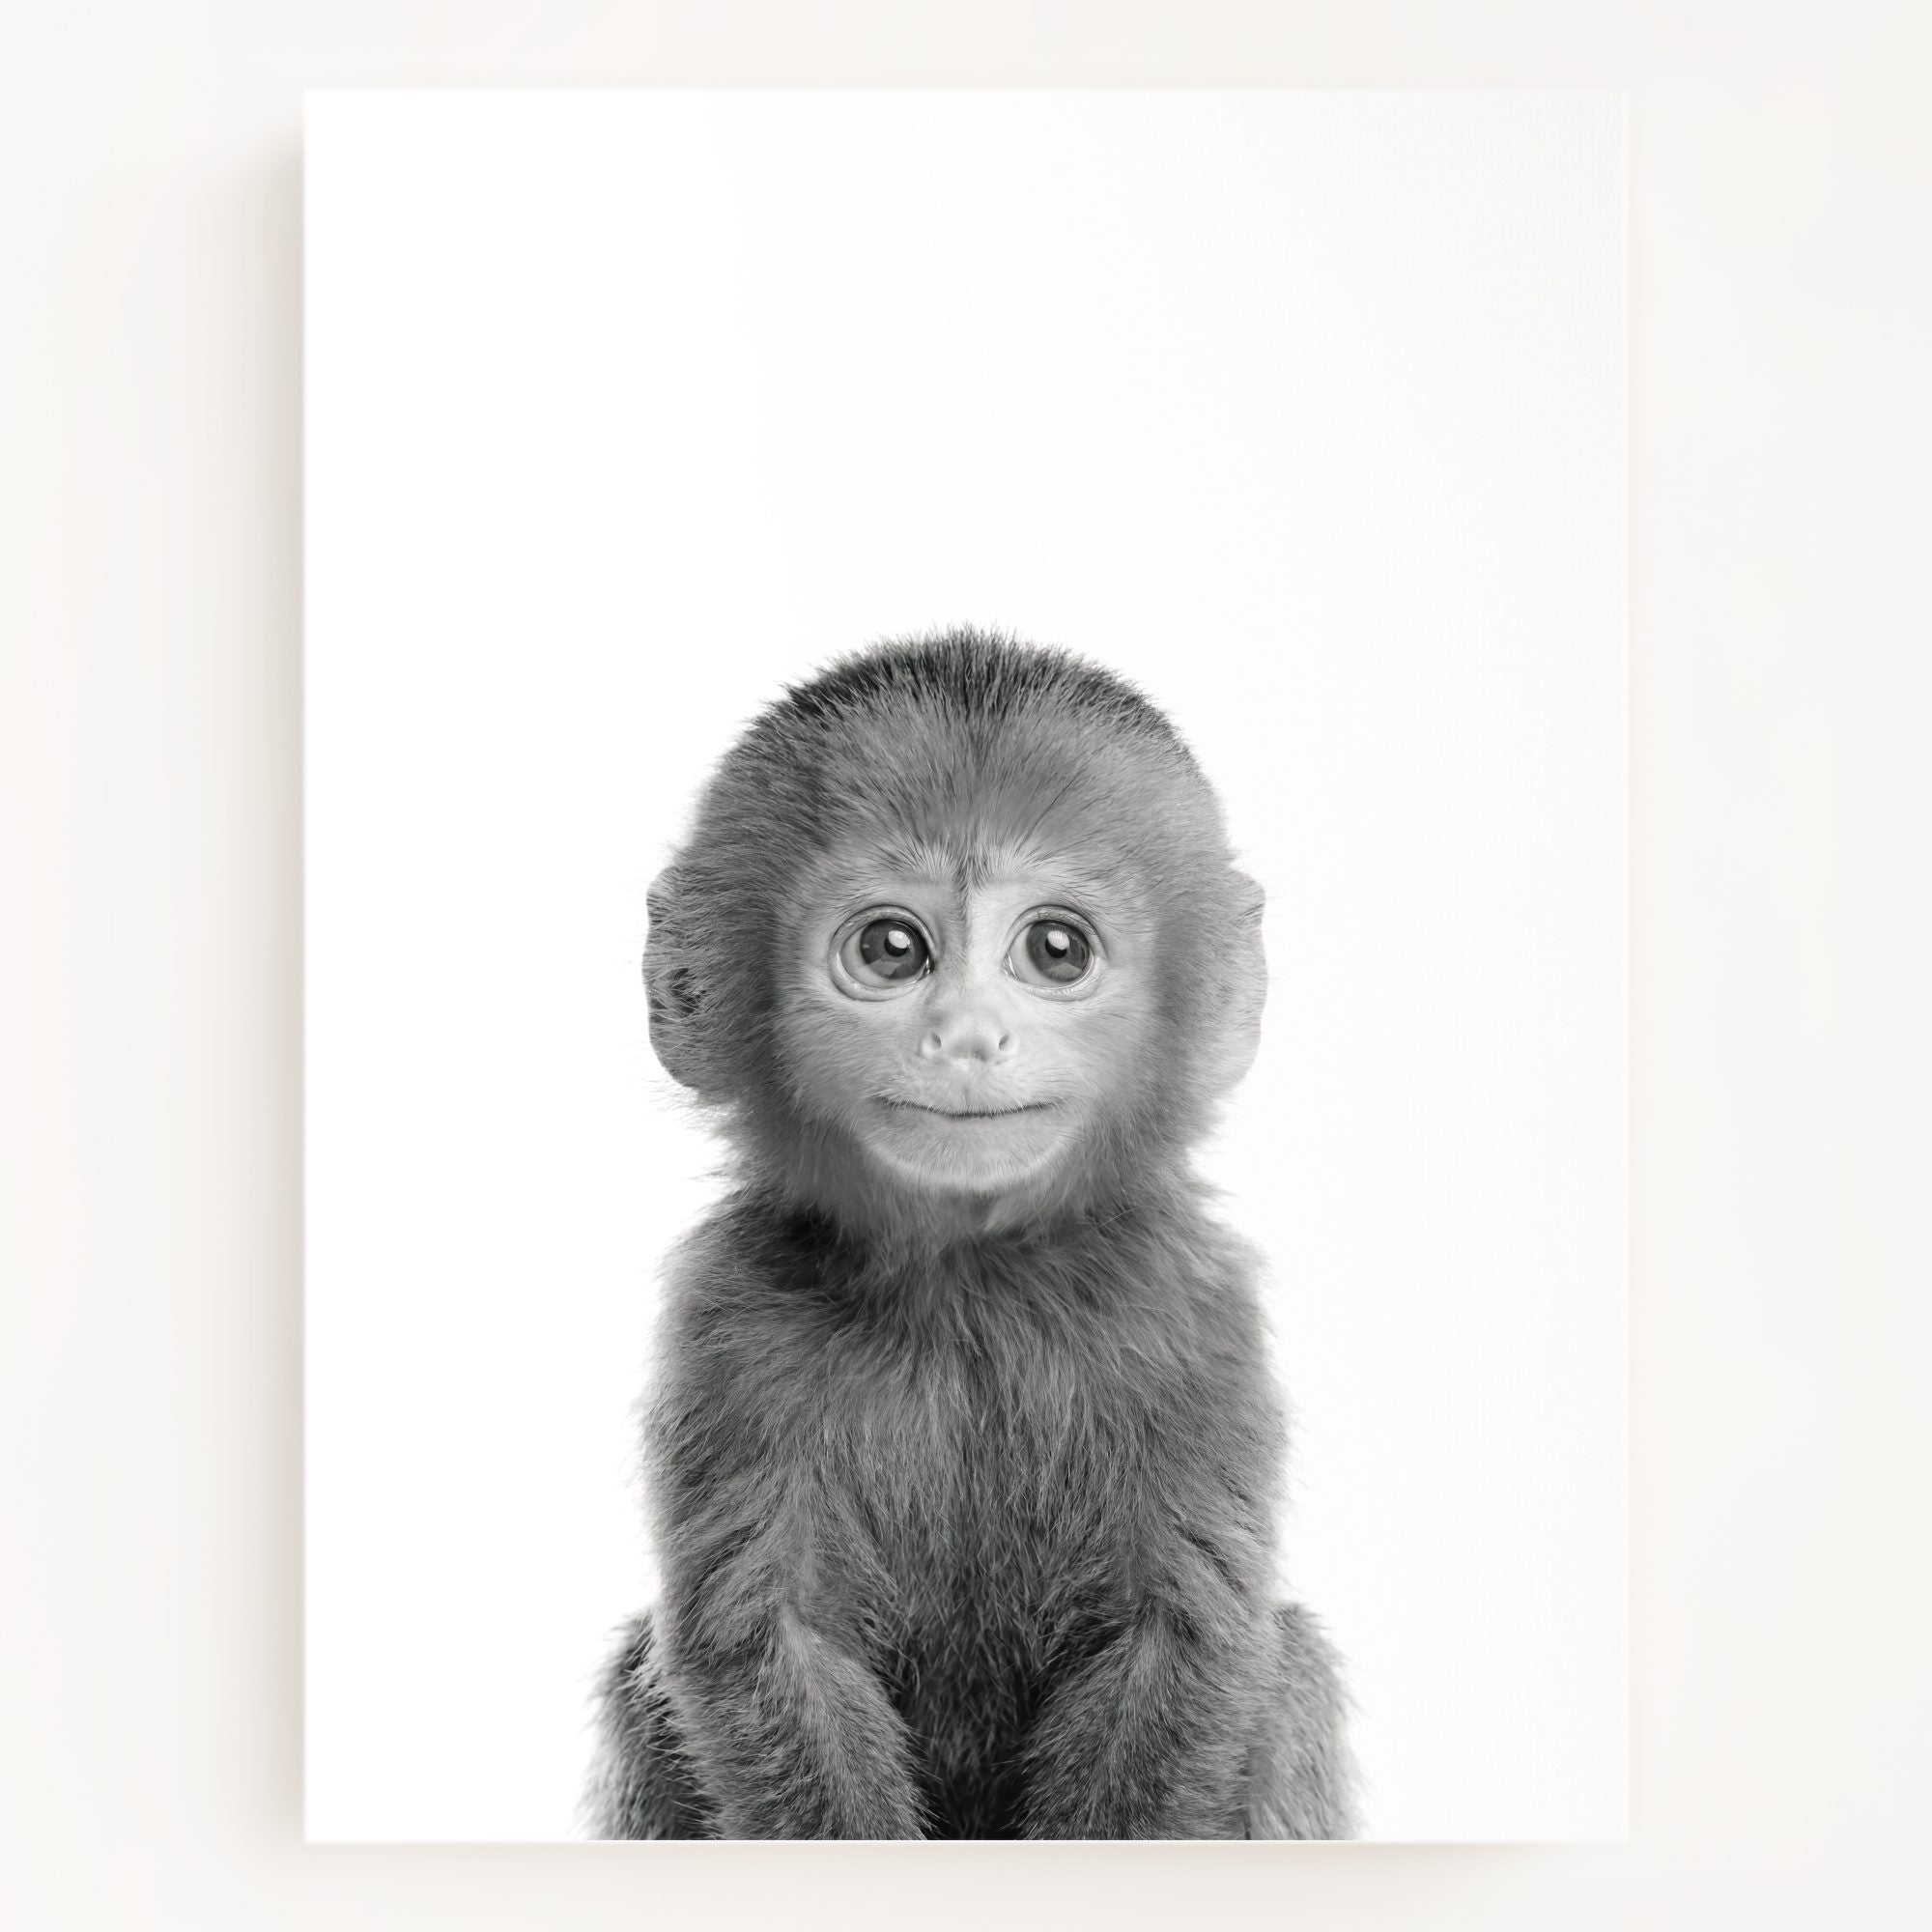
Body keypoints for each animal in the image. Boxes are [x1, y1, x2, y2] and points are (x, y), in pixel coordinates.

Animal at [584, 629, 1356, 1840]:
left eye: (1055, 948)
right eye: (893, 948)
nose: (966, 1036)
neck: (971, 1283)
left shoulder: (1193, 1306)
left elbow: (1179, 1638)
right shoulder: (727, 1313)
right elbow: (766, 1641)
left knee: (1291, 1670)